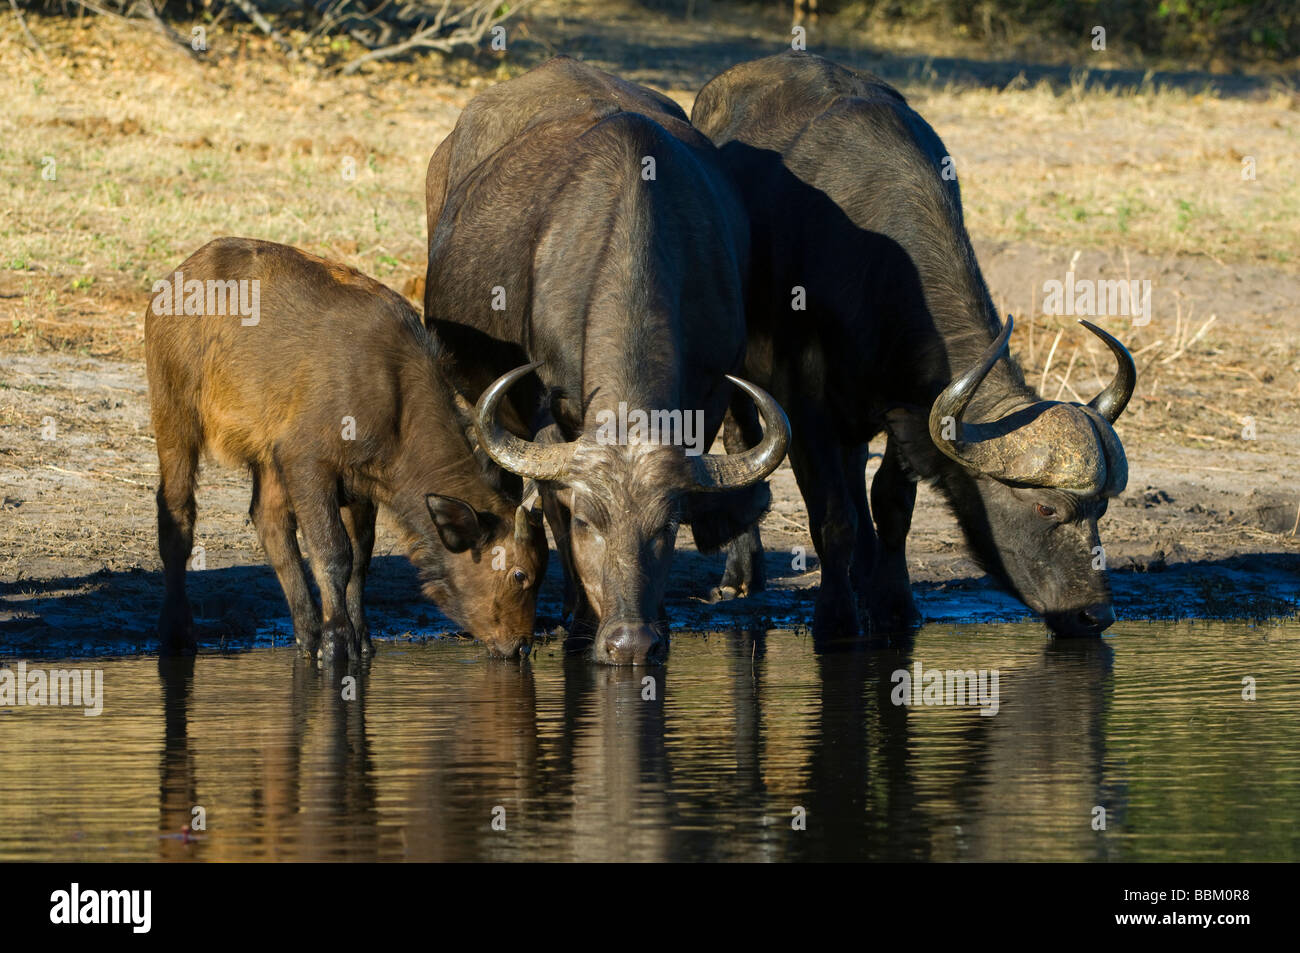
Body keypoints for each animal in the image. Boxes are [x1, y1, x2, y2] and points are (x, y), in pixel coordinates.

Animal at [144, 234, 546, 657]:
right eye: (520, 574)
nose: (521, 647)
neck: (394, 392)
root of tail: (181, 274)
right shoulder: (308, 463)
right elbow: (333, 553)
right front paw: (337, 640)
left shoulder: (362, 483)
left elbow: (360, 557)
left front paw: (359, 640)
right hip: (175, 417)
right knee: (177, 514)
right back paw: (177, 629)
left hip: (267, 456)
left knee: (271, 522)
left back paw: (306, 633)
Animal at [426, 53, 790, 660]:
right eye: (587, 523)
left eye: (666, 529)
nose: (631, 642)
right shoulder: (548, 413)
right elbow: (550, 504)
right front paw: (578, 615)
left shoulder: (710, 394)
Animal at [696, 55, 1133, 642]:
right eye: (1045, 509)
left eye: (1101, 512)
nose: (1095, 615)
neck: (873, 258)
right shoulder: (805, 410)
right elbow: (832, 515)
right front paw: (835, 620)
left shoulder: (908, 407)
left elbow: (892, 506)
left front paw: (893, 605)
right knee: (744, 442)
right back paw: (742, 574)